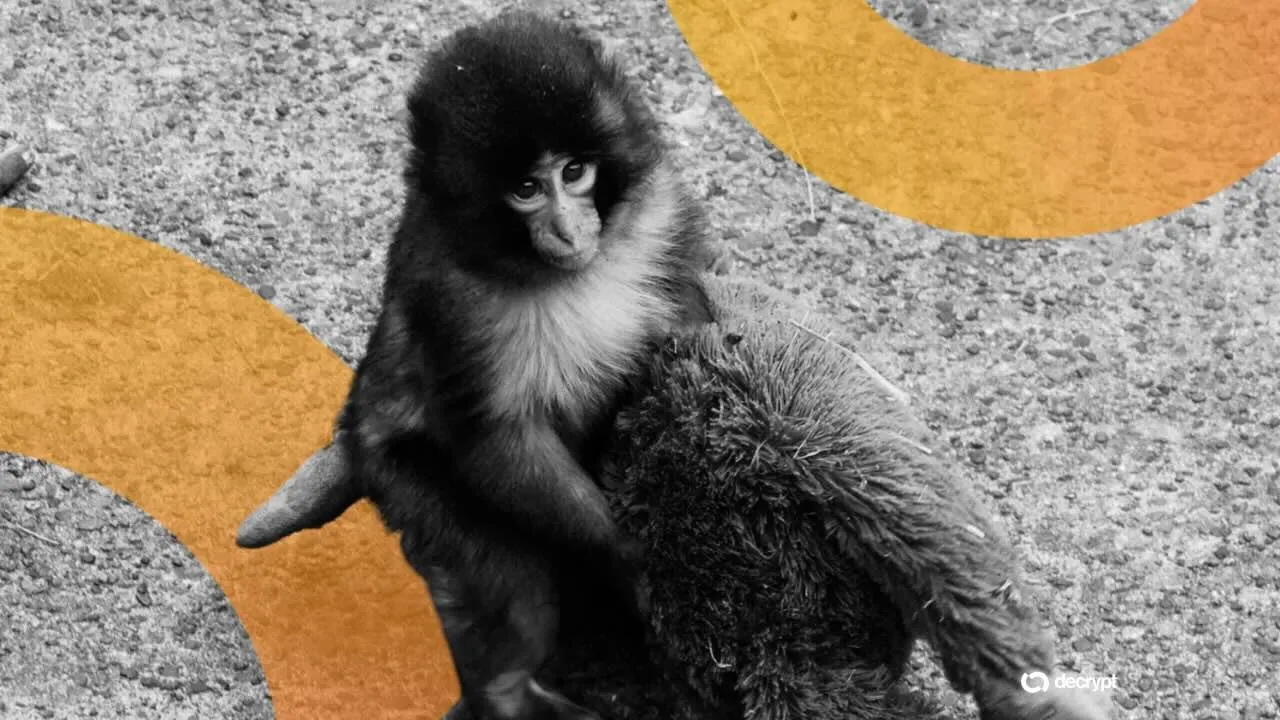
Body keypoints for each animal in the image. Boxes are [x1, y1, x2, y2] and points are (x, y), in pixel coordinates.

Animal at [332, 11, 715, 720]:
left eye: (575, 172)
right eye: (527, 190)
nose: (568, 230)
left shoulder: (659, 210)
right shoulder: (448, 295)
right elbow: (497, 437)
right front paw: (627, 556)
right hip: (405, 481)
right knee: (510, 573)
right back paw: (508, 691)